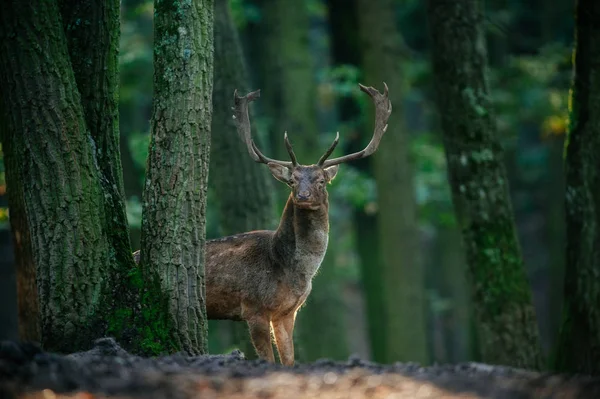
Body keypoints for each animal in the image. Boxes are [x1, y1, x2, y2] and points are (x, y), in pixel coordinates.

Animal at [135, 83, 394, 368]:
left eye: (321, 181)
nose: (303, 195)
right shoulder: (253, 307)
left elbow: (289, 359)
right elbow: (268, 360)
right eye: (292, 181)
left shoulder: (287, 312)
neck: (291, 269)